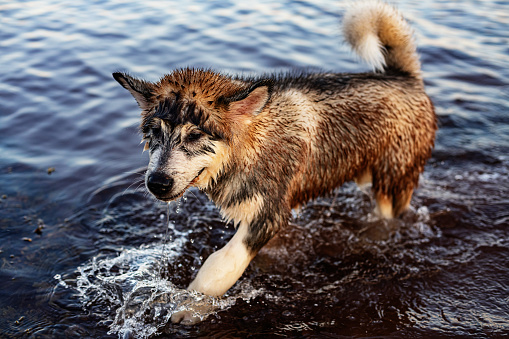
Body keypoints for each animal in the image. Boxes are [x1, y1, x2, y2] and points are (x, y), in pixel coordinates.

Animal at [113, 0, 434, 324]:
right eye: (155, 132)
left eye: (194, 136)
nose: (157, 183)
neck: (253, 146)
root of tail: (403, 76)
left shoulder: (268, 214)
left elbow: (221, 264)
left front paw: (191, 305)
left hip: (392, 179)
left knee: (388, 212)